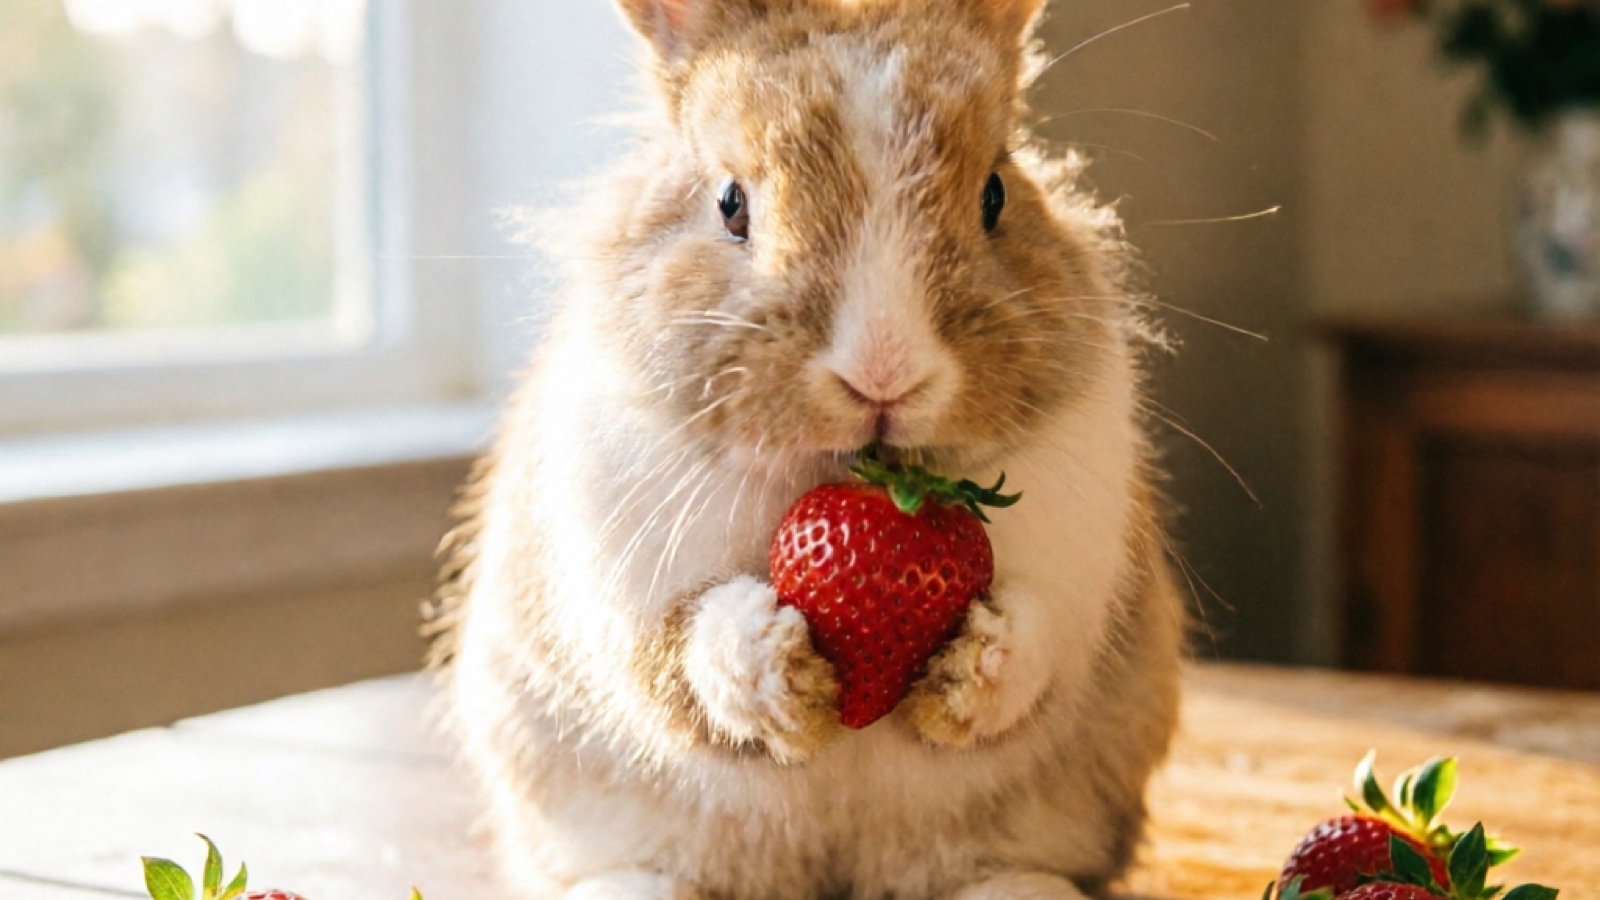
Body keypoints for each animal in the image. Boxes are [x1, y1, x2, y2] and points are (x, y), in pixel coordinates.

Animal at [429, 0, 1187, 897]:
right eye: (731, 204)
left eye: (996, 194)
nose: (884, 373)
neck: (855, 480)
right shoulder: (625, 587)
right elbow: (688, 653)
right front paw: (778, 669)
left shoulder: (1075, 579)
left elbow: (1038, 645)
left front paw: (977, 666)